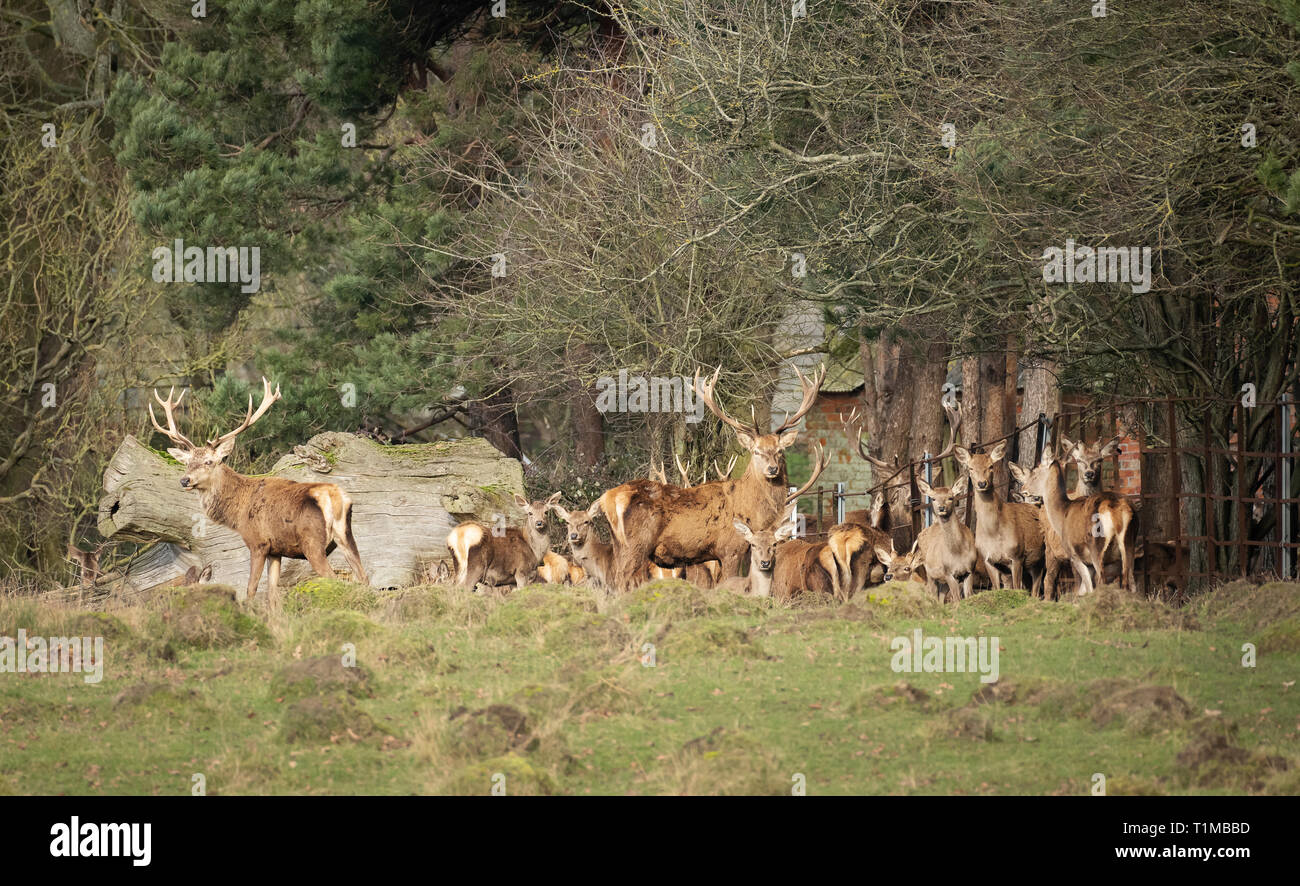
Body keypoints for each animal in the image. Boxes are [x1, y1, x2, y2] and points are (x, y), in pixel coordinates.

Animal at [148, 376, 369, 597]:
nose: (184, 480)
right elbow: (272, 593)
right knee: (363, 578)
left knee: (335, 579)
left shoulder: (258, 543)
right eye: (187, 462)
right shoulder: (276, 551)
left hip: (312, 542)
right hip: (346, 536)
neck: (237, 513)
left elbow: (251, 589)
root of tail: (335, 498)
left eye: (209, 462)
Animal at [598, 361, 821, 589]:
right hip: (635, 544)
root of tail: (606, 499)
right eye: (756, 451)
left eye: (779, 450)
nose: (773, 469)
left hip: (618, 544)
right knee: (620, 581)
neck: (752, 511)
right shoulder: (731, 548)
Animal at [951, 439, 1050, 592]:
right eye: (970, 468)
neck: (994, 533)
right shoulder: (989, 559)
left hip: (1040, 559)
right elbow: (997, 589)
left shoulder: (1017, 556)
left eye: (991, 466)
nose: (982, 483)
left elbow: (1016, 589)